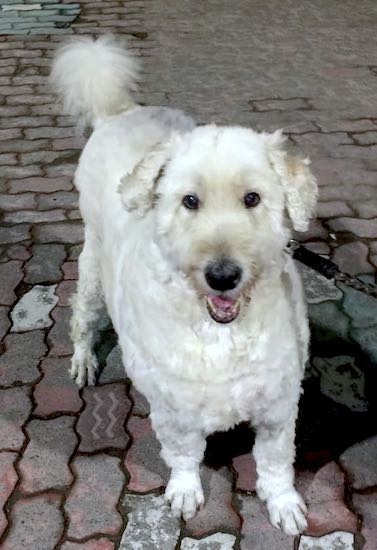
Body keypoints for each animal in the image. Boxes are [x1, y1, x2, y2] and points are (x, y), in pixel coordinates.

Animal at [50, 34, 318, 536]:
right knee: (81, 317)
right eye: (189, 201)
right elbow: (183, 456)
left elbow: (275, 463)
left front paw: (283, 503)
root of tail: (118, 112)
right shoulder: (174, 410)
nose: (223, 275)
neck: (221, 332)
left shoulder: (277, 405)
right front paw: (185, 491)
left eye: (252, 198)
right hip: (93, 269)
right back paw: (82, 360)